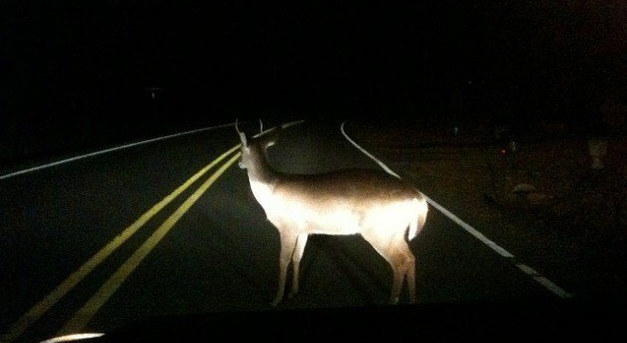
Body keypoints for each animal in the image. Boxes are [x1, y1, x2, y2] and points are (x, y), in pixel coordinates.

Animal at [237, 120, 432, 306]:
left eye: (240, 150)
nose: (239, 163)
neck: (270, 187)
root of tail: (418, 199)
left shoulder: (287, 227)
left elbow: (283, 259)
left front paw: (277, 299)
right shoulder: (303, 229)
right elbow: (297, 257)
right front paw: (294, 292)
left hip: (379, 231)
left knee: (399, 263)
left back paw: (393, 300)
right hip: (396, 231)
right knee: (410, 258)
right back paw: (413, 299)